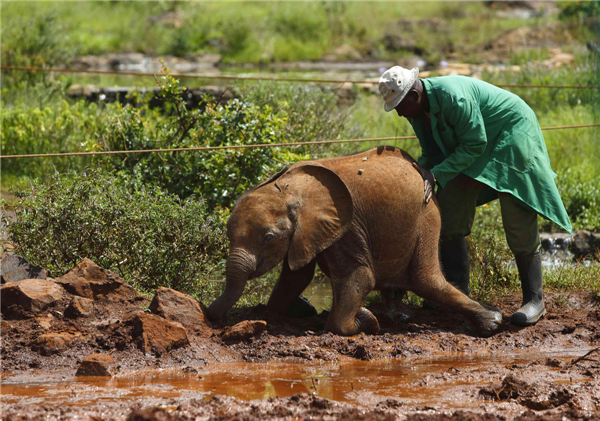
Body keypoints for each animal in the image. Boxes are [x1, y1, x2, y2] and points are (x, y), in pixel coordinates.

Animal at [206, 146, 502, 336]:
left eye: (268, 238)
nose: (211, 316)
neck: (291, 189)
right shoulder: (307, 232)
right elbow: (295, 276)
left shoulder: (347, 227)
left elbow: (359, 276)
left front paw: (365, 321)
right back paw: (396, 315)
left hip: (427, 215)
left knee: (426, 280)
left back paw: (492, 322)